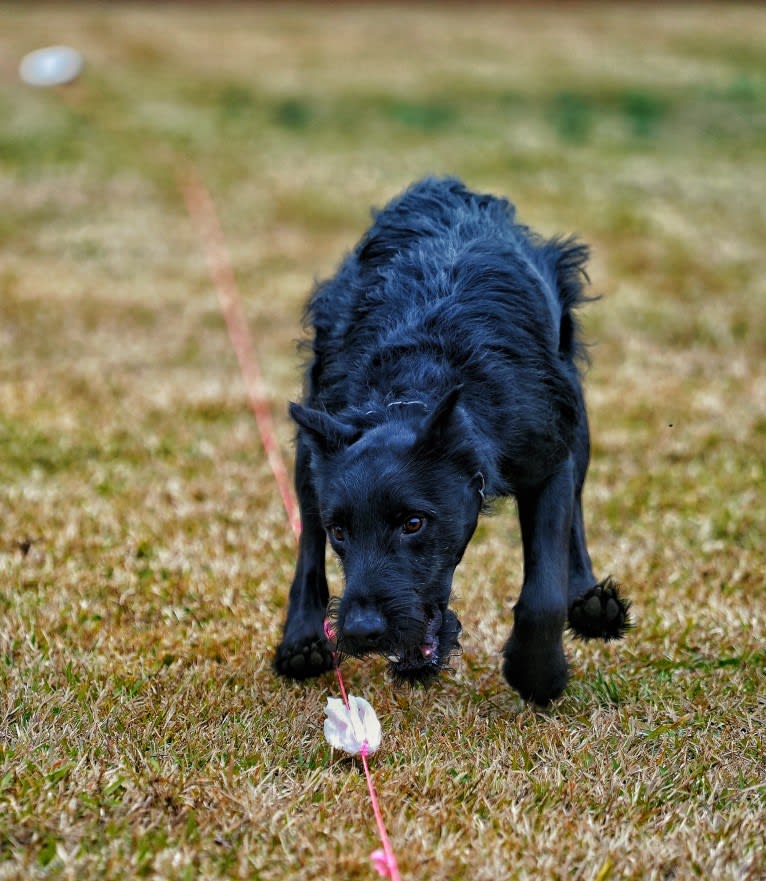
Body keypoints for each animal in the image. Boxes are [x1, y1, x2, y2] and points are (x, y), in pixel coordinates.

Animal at [276, 177, 632, 700]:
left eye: (413, 524)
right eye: (341, 532)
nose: (362, 631)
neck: (417, 382)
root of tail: (444, 187)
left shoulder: (549, 460)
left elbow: (544, 588)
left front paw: (537, 672)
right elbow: (311, 542)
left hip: (576, 413)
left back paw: (589, 602)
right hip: (312, 439)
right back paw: (302, 640)